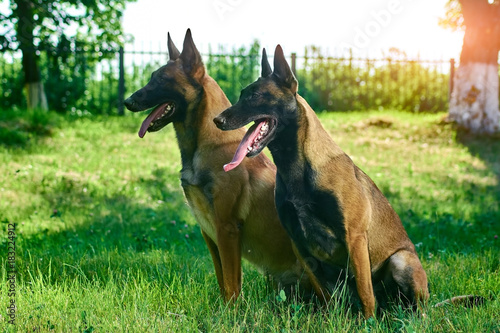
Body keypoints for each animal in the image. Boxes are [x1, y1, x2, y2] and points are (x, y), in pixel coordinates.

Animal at [123, 30, 308, 300]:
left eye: (161, 80)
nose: (127, 101)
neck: (205, 144)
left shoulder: (226, 229)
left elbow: (231, 284)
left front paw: (232, 309)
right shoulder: (209, 233)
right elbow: (223, 282)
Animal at [213, 44, 428, 316]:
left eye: (254, 96)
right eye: (242, 95)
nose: (217, 120)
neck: (297, 167)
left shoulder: (355, 237)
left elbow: (366, 292)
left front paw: (368, 321)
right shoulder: (300, 244)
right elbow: (325, 293)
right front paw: (331, 318)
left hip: (401, 260)